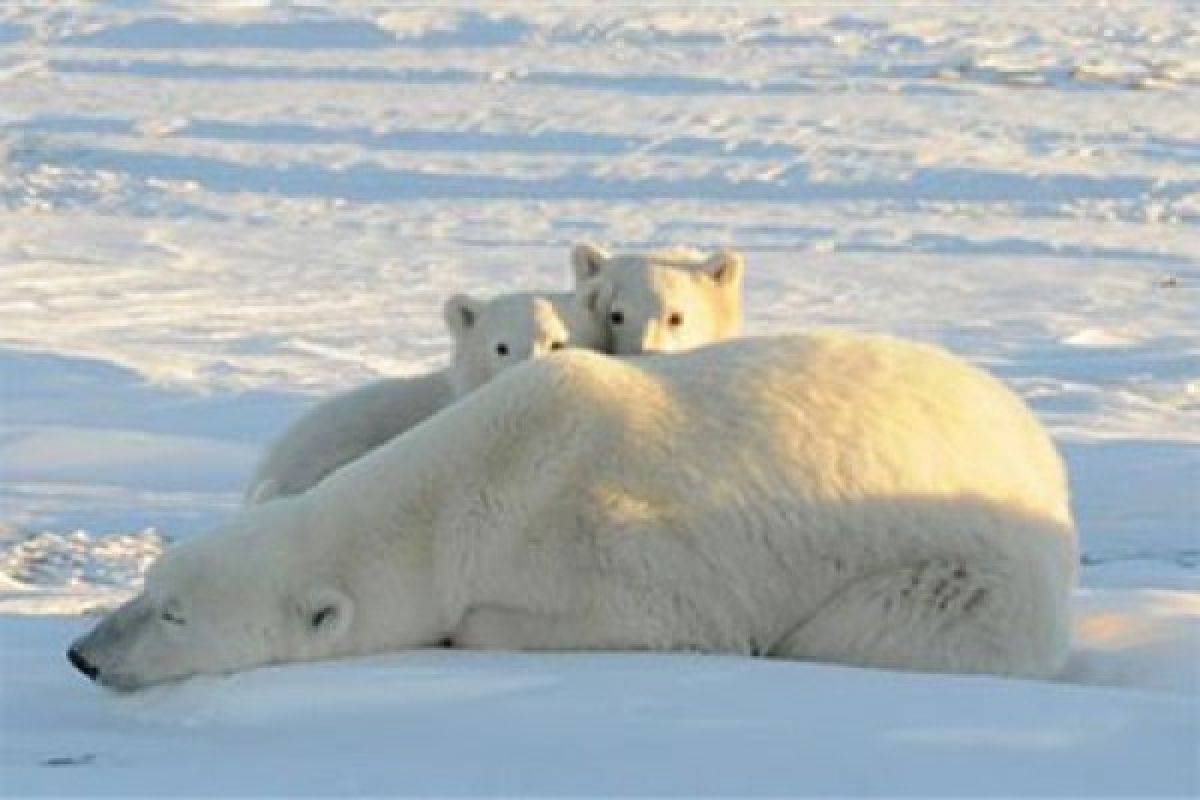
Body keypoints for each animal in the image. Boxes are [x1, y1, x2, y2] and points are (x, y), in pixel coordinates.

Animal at [68, 331, 1080, 690]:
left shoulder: (612, 543)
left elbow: (658, 619)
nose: (83, 655)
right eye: (149, 585)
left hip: (967, 572)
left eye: (174, 615)